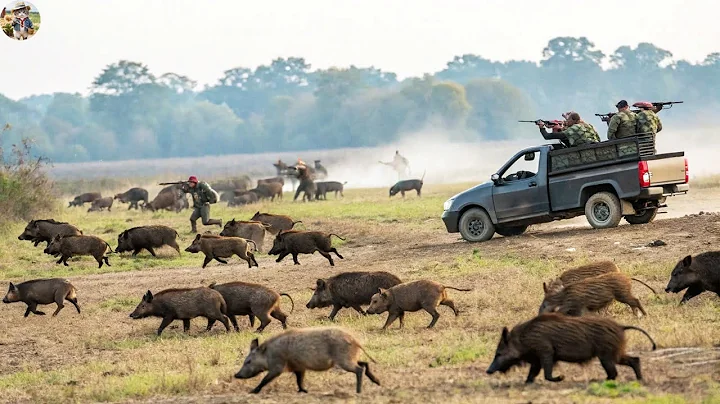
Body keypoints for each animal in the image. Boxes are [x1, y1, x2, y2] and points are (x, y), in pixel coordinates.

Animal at [234, 327, 380, 394]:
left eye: (248, 361)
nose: (236, 375)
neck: (269, 354)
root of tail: (355, 340)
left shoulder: (277, 367)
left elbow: (265, 379)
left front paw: (252, 392)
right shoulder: (299, 367)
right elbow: (299, 380)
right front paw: (304, 391)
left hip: (344, 360)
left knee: (359, 369)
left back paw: (358, 391)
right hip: (349, 359)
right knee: (364, 363)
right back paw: (377, 383)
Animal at [486, 313, 656, 384]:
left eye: (499, 353)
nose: (488, 371)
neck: (523, 339)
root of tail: (621, 327)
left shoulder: (546, 352)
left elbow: (547, 374)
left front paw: (561, 378)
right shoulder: (537, 359)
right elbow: (533, 373)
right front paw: (527, 383)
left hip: (606, 355)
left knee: (613, 373)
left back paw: (597, 380)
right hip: (615, 353)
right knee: (634, 360)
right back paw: (640, 379)